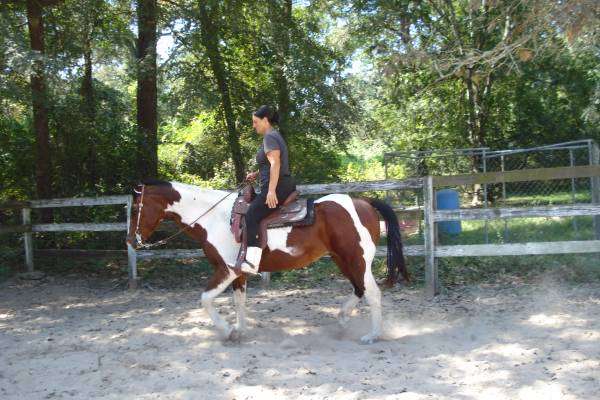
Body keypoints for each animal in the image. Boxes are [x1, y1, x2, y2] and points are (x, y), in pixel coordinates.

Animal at [126, 180, 408, 344]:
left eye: (136, 208)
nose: (131, 240)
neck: (216, 218)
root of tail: (364, 202)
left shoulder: (227, 270)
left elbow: (205, 299)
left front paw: (227, 331)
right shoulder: (239, 274)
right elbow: (239, 302)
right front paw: (239, 331)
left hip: (357, 259)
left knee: (372, 293)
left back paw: (372, 335)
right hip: (343, 259)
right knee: (359, 289)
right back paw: (342, 320)